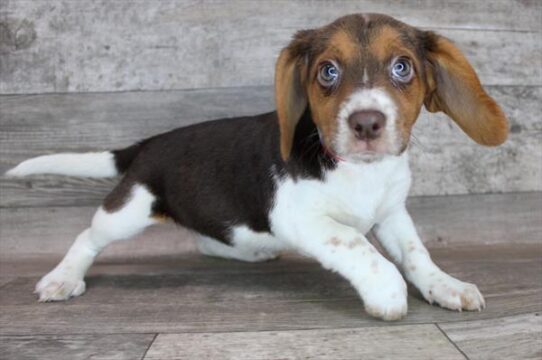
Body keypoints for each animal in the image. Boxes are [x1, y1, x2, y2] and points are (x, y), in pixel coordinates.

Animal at [7, 13, 510, 320]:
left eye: (403, 67)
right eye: (328, 72)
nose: (367, 122)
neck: (359, 171)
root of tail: (147, 144)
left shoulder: (391, 214)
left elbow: (416, 254)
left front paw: (446, 285)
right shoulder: (300, 218)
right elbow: (357, 246)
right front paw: (387, 292)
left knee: (208, 239)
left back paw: (250, 252)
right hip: (127, 211)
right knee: (87, 238)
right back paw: (63, 277)